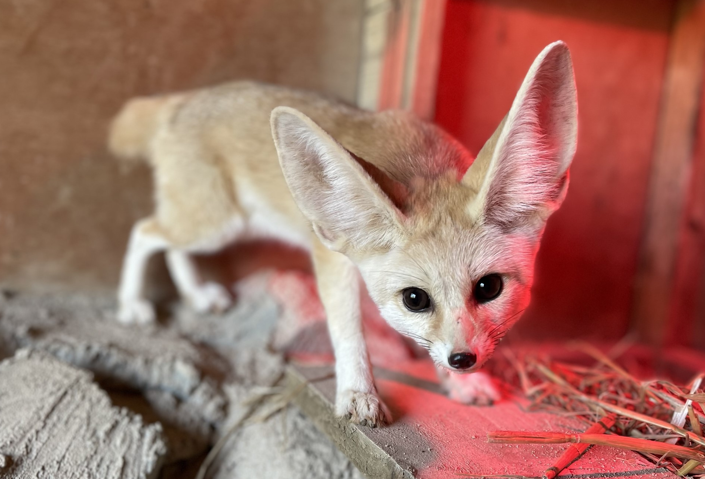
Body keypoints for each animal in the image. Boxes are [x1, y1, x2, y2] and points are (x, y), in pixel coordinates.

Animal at [108, 43, 572, 428]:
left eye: (489, 287)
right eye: (415, 299)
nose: (462, 360)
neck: (420, 162)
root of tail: (183, 99)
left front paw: (464, 383)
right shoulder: (332, 255)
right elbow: (348, 328)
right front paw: (357, 393)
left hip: (214, 227)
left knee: (164, 241)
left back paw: (196, 295)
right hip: (214, 224)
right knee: (143, 230)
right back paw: (132, 304)